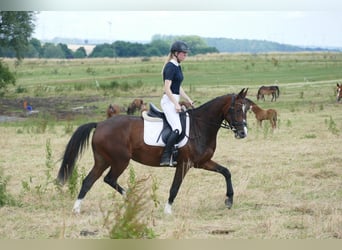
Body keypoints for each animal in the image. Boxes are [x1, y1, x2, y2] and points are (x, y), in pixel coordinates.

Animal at [56, 88, 248, 215]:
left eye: (247, 109)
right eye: (237, 109)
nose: (243, 133)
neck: (200, 126)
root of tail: (100, 124)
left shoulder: (202, 162)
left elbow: (226, 172)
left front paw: (229, 200)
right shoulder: (184, 164)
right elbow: (174, 187)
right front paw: (168, 210)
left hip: (103, 160)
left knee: (88, 181)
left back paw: (77, 208)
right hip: (120, 160)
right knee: (109, 179)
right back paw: (132, 199)